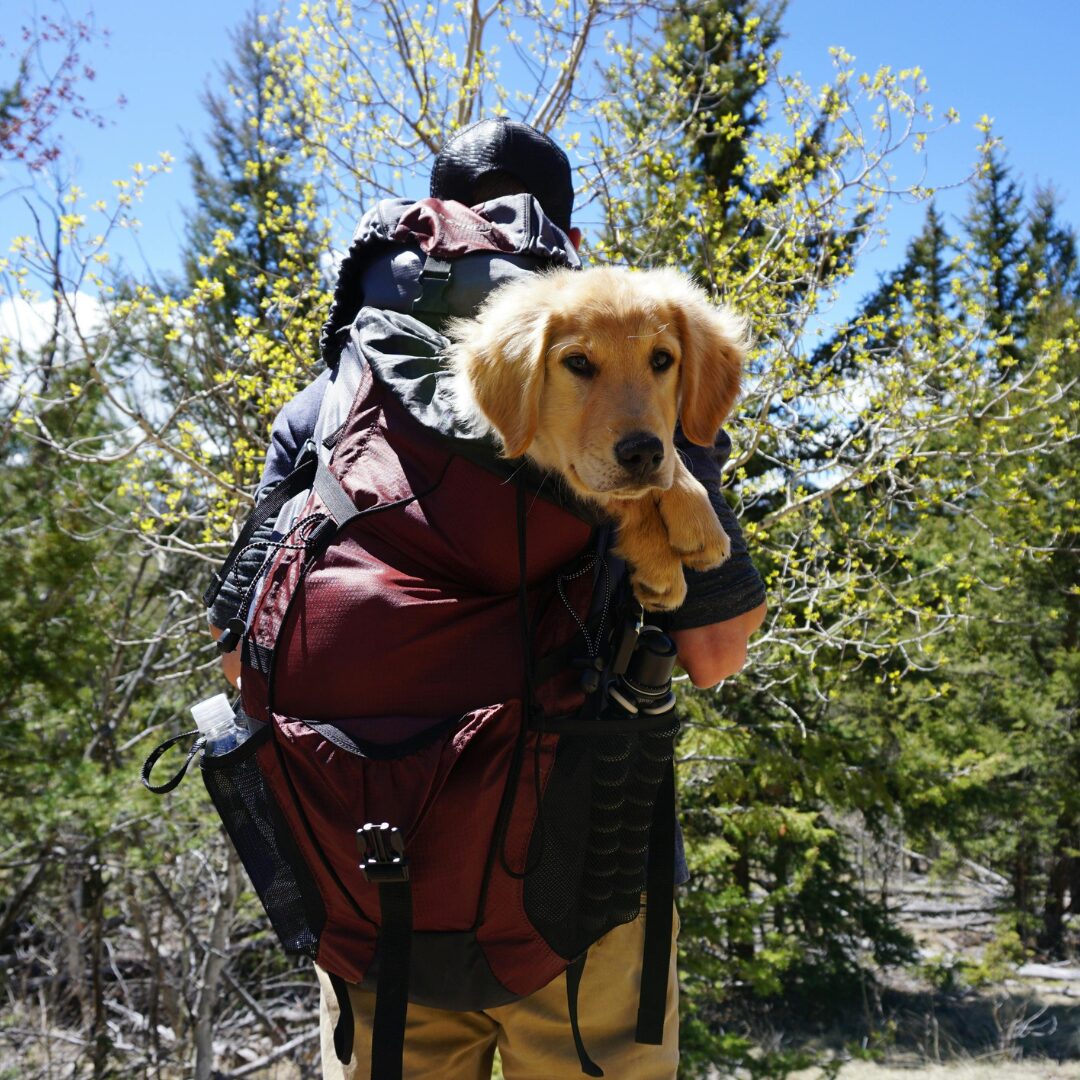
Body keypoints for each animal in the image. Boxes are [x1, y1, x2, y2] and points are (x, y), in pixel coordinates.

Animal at [442, 265, 747, 613]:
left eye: (661, 359)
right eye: (578, 362)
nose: (643, 454)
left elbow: (668, 459)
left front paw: (695, 514)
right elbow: (616, 493)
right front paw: (659, 559)